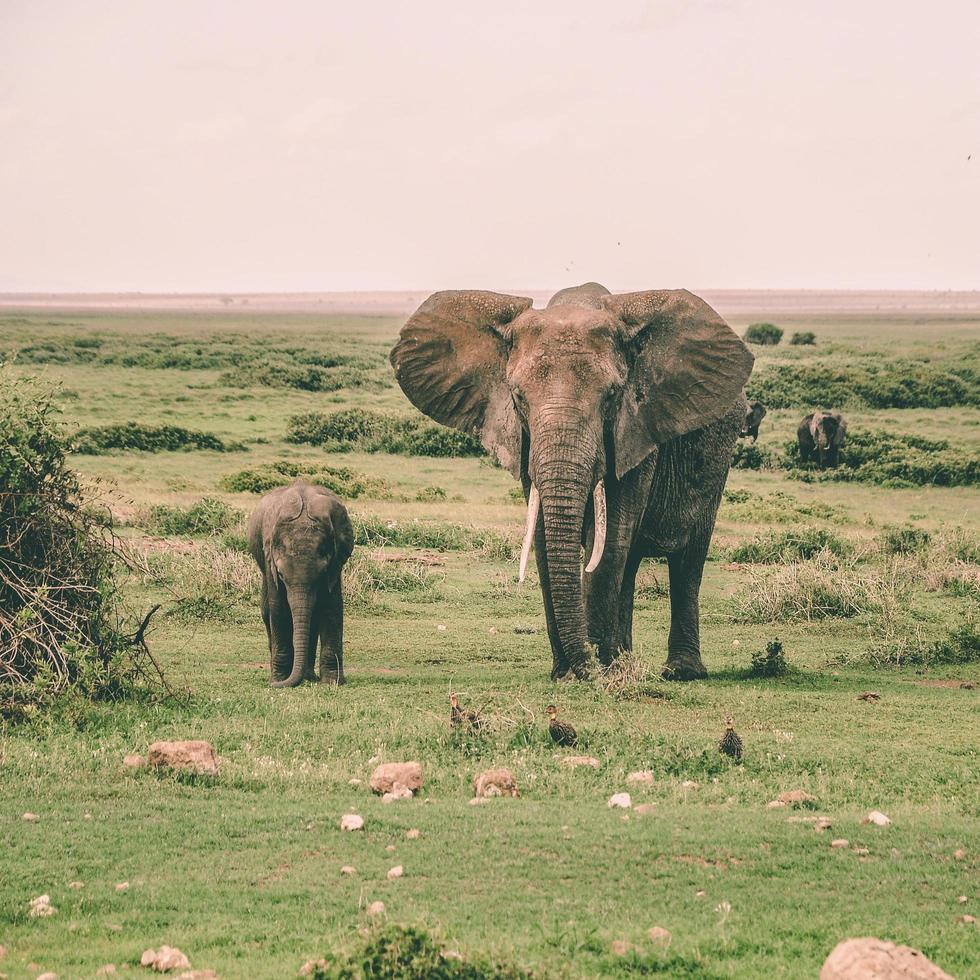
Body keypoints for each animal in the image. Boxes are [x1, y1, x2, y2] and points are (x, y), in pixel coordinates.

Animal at [247, 478, 354, 684]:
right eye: (281, 575)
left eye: (322, 574)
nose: (277, 684)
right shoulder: (270, 558)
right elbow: (278, 608)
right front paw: (278, 680)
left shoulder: (335, 562)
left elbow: (332, 607)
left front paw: (332, 683)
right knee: (267, 611)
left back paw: (309, 677)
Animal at [388, 284, 752, 680]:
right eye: (518, 397)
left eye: (612, 396)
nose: (582, 668)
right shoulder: (527, 445)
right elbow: (545, 539)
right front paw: (569, 673)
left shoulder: (635, 432)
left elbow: (609, 542)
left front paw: (596, 673)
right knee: (632, 562)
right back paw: (624, 663)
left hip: (717, 459)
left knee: (687, 558)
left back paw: (678, 672)